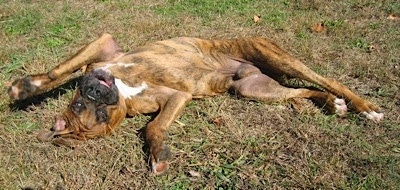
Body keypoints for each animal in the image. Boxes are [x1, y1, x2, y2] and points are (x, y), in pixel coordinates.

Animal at [7, 32, 382, 175]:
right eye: (97, 113)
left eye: (88, 108)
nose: (98, 91)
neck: (125, 92)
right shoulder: (174, 97)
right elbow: (153, 125)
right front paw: (158, 153)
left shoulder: (104, 45)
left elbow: (60, 69)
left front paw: (25, 86)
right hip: (255, 90)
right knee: (303, 92)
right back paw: (330, 104)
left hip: (274, 56)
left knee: (327, 80)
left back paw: (365, 108)